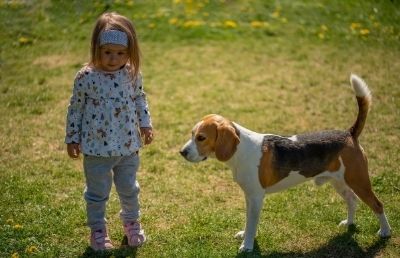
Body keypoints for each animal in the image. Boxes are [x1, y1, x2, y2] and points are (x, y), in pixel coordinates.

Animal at [180, 74, 390, 252]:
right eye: (192, 134)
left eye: (201, 137)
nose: (182, 152)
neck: (241, 150)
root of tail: (349, 133)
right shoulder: (249, 196)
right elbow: (248, 220)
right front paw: (245, 236)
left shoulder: (256, 197)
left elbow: (252, 223)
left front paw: (247, 246)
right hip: (339, 181)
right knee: (352, 200)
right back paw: (349, 223)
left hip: (359, 181)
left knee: (378, 205)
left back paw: (385, 232)